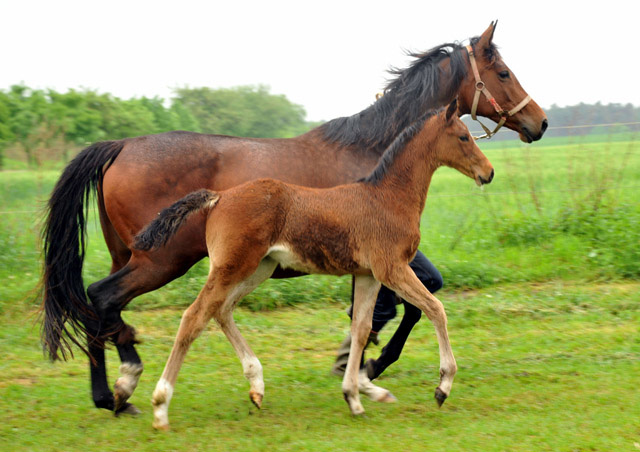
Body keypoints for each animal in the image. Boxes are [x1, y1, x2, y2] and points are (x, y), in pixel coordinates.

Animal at [136, 100, 496, 430]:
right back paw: (161, 406)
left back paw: (256, 385)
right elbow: (436, 309)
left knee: (221, 311)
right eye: (463, 136)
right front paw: (443, 386)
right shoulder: (391, 268)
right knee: (194, 317)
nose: (488, 172)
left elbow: (361, 328)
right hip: (234, 267)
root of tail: (219, 197)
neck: (388, 197)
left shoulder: (368, 275)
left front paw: (354, 398)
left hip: (258, 268)